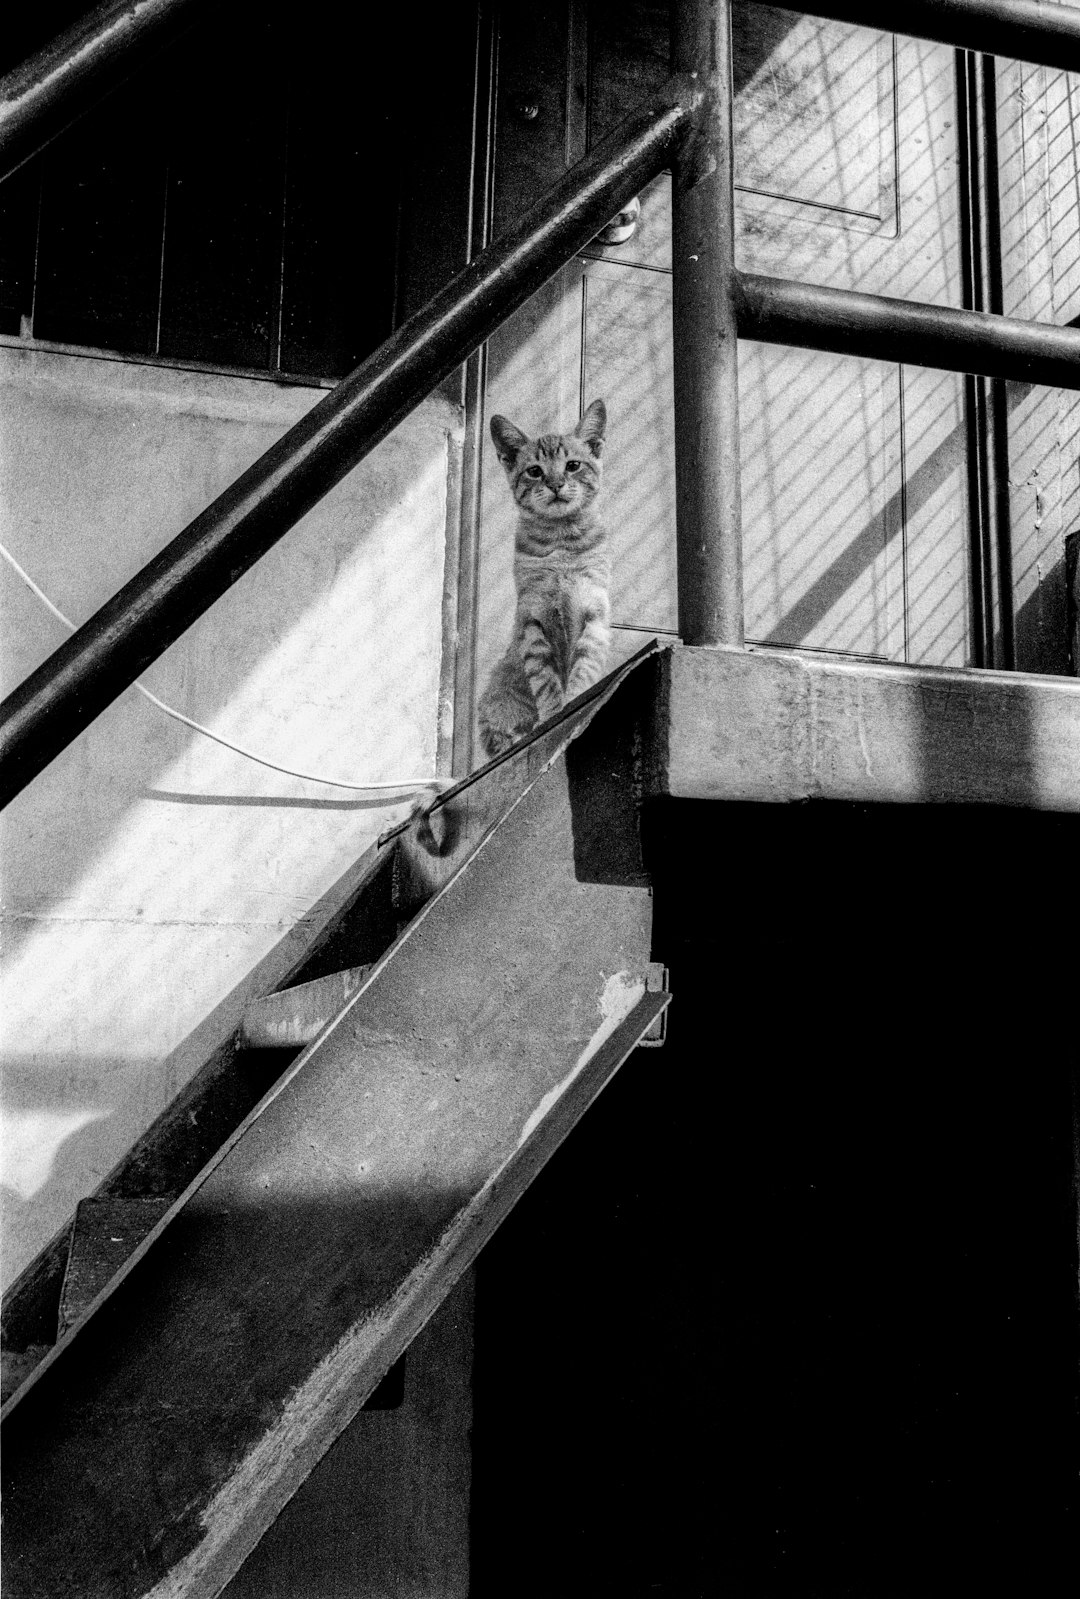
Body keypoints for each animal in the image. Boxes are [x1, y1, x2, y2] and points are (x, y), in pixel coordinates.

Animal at [480, 393, 611, 754]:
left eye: (573, 465)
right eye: (535, 471)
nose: (555, 484)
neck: (561, 540)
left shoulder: (593, 611)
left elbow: (584, 666)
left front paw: (575, 698)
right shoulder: (533, 618)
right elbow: (545, 680)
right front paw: (553, 715)